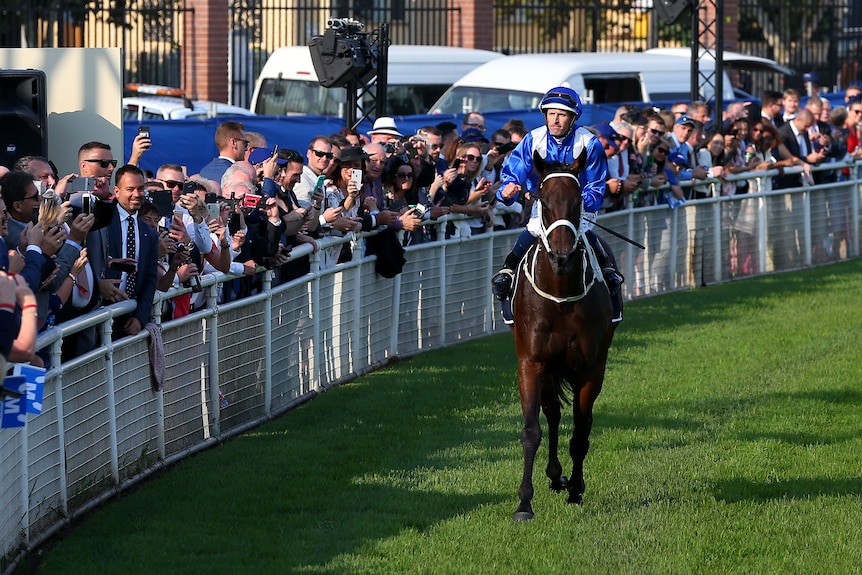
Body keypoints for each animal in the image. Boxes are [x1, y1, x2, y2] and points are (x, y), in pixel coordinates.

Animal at [510, 152, 616, 520]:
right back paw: (554, 475)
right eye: (543, 200)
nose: (561, 255)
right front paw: (524, 503)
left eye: (578, 199)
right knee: (553, 414)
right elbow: (532, 430)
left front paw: (576, 491)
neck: (560, 294)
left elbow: (581, 433)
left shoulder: (590, 369)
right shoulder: (531, 362)